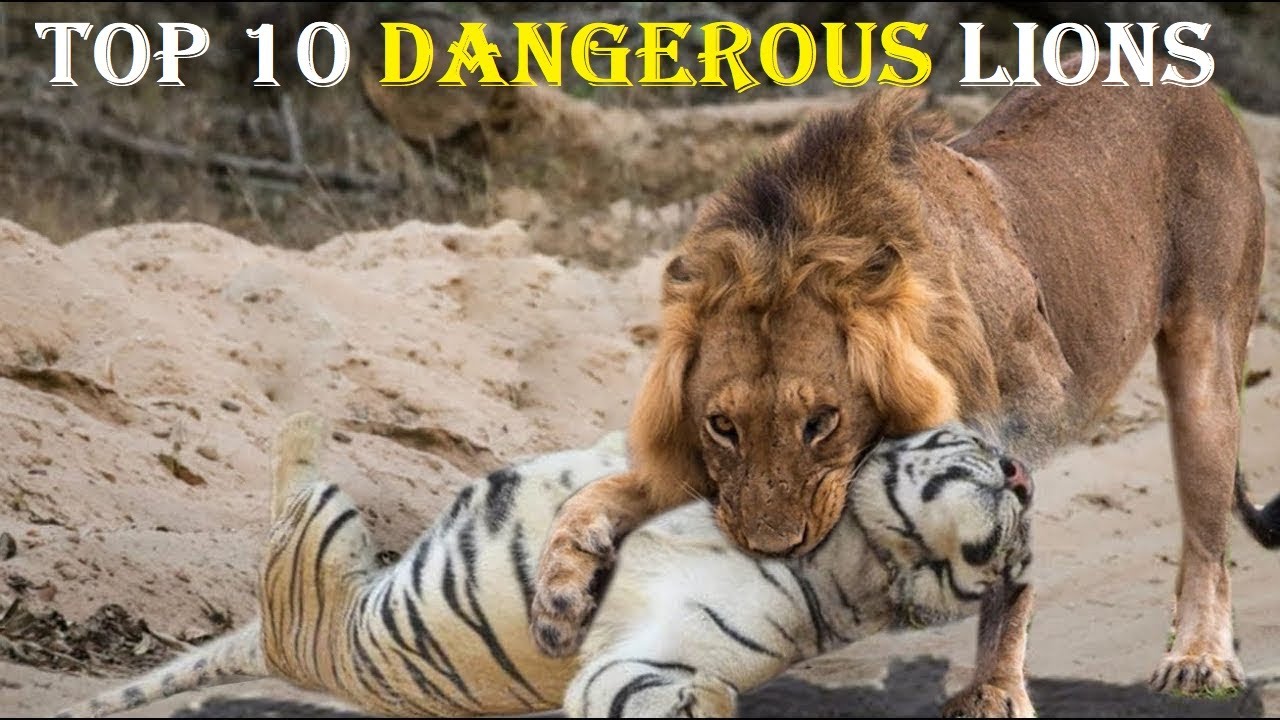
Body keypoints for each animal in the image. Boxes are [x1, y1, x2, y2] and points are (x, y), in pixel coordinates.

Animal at [57, 412, 1034, 718]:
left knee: (291, 470)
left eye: (1016, 545)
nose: (1023, 473)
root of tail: (278, 646)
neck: (865, 545)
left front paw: (702, 704)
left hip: (323, 523)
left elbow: (659, 687)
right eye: (985, 449)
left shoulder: (644, 657)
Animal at [530, 57, 1278, 717]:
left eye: (821, 421)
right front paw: (557, 600)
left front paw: (993, 692)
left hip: (1207, 358)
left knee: (1208, 536)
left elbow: (1006, 567)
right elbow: (596, 494)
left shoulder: (1026, 414)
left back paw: (1199, 659)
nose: (772, 549)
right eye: (722, 426)